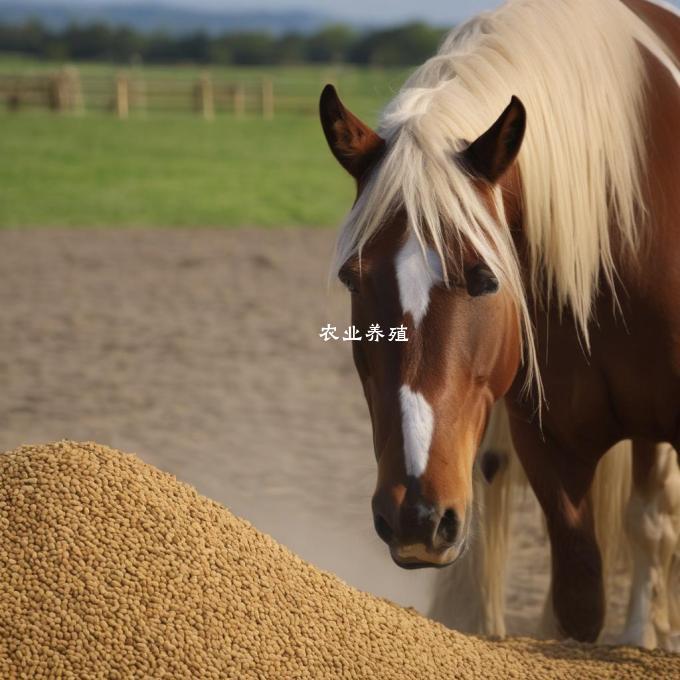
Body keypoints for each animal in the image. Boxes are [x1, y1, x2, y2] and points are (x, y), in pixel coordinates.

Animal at [318, 0, 680, 644]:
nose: (416, 516)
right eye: (353, 280)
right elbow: (579, 602)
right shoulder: (551, 452)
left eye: (486, 278)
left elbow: (650, 524)